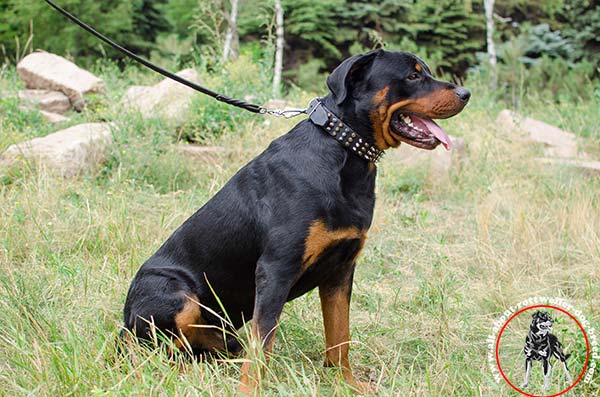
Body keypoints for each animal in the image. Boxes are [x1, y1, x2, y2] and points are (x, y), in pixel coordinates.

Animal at [122, 48, 468, 392]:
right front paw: (251, 390)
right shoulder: (276, 269)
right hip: (175, 295)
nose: (466, 94)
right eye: (412, 76)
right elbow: (263, 342)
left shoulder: (341, 270)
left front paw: (346, 383)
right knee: (153, 354)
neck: (344, 153)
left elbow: (340, 335)